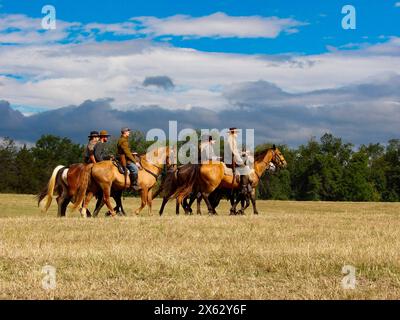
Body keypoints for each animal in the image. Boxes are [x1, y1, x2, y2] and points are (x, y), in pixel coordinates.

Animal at [160, 145, 288, 215]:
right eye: (280, 153)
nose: (284, 164)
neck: (253, 168)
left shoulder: (244, 189)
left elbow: (249, 201)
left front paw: (248, 212)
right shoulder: (247, 188)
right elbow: (246, 201)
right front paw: (238, 211)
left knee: (190, 198)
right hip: (211, 185)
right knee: (202, 196)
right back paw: (207, 211)